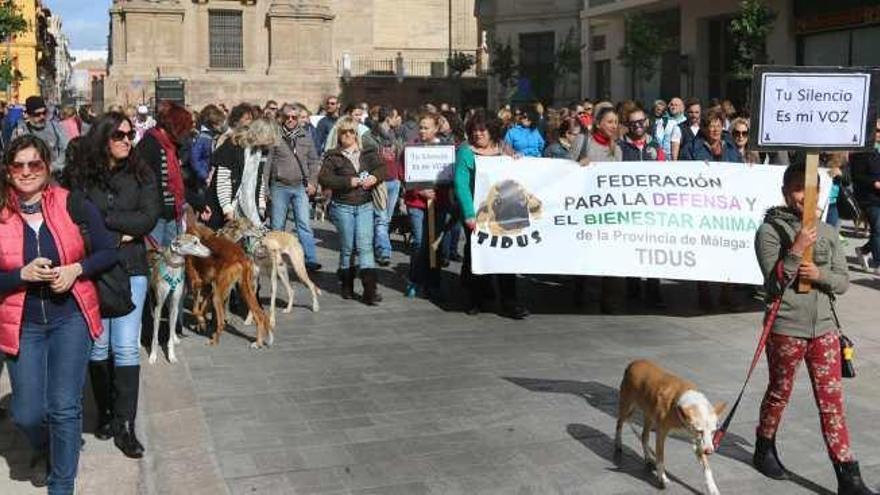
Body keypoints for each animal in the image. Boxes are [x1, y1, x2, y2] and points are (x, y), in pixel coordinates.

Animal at [616, 360, 724, 495]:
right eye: (700, 431)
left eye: (714, 431)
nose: (709, 451)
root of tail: (634, 363)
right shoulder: (661, 434)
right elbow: (660, 458)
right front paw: (662, 478)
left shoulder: (698, 442)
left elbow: (707, 468)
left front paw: (712, 487)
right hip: (627, 407)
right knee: (619, 423)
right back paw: (618, 444)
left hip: (649, 415)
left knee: (644, 436)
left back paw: (648, 458)